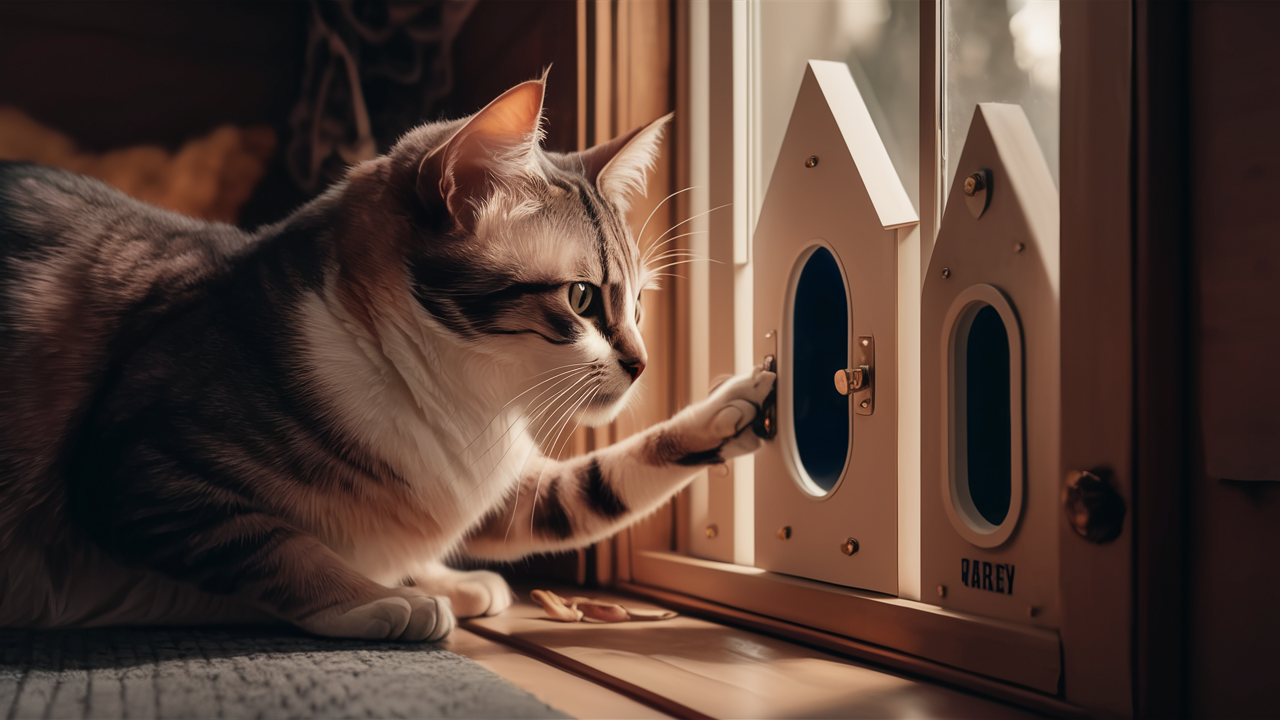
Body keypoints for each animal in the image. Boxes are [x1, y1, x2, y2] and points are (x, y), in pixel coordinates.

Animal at [0, 75, 768, 638]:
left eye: (639, 305)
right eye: (581, 299)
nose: (642, 363)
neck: (460, 405)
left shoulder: (493, 483)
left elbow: (596, 487)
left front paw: (728, 410)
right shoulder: (139, 465)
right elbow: (276, 543)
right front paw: (376, 597)